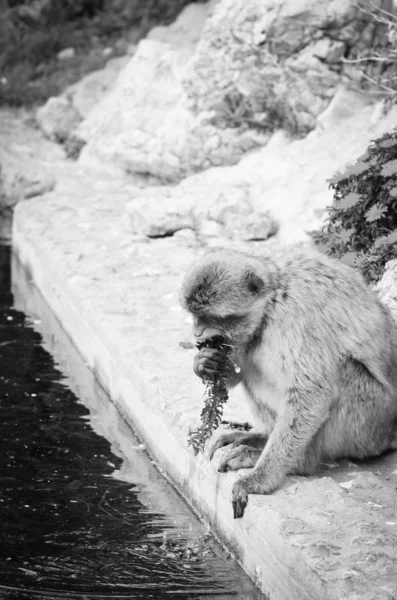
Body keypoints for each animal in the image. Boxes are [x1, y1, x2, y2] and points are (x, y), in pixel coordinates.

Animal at [179, 246, 396, 516]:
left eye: (211, 316)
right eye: (195, 315)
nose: (197, 333)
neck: (271, 302)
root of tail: (388, 434)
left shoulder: (296, 317)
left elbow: (311, 393)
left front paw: (260, 479)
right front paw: (205, 363)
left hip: (369, 426)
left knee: (343, 371)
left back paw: (297, 462)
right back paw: (260, 438)